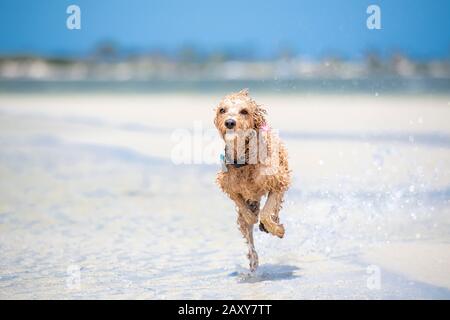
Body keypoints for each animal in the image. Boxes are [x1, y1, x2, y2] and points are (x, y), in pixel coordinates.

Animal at [214, 88, 292, 270]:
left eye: (244, 111)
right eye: (222, 110)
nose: (230, 122)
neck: (245, 159)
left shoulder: (278, 181)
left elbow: (266, 212)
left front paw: (276, 229)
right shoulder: (229, 184)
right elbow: (244, 210)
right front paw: (250, 215)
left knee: (273, 209)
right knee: (248, 233)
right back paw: (253, 259)